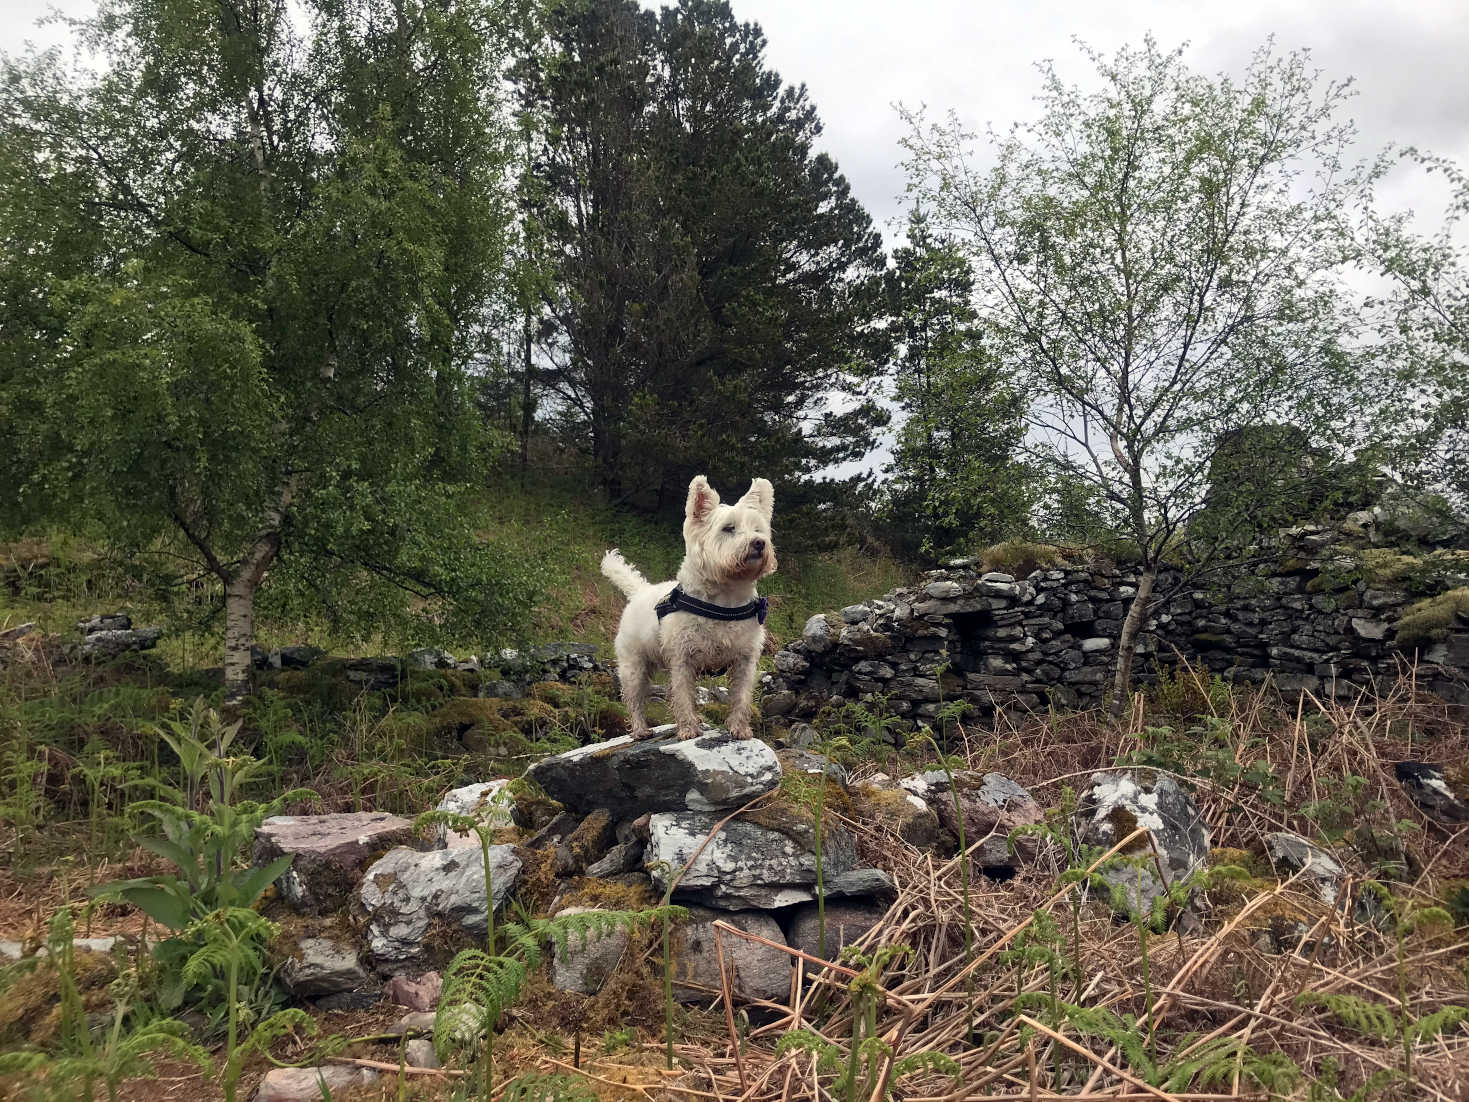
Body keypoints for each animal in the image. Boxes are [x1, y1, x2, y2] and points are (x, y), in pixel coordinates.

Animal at [599, 476, 775, 743]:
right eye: (728, 528)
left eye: (758, 529)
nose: (759, 543)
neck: (724, 601)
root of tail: (640, 590)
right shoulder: (682, 658)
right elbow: (682, 695)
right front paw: (689, 728)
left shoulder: (745, 660)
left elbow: (742, 696)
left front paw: (740, 728)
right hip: (633, 666)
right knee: (635, 699)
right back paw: (640, 730)